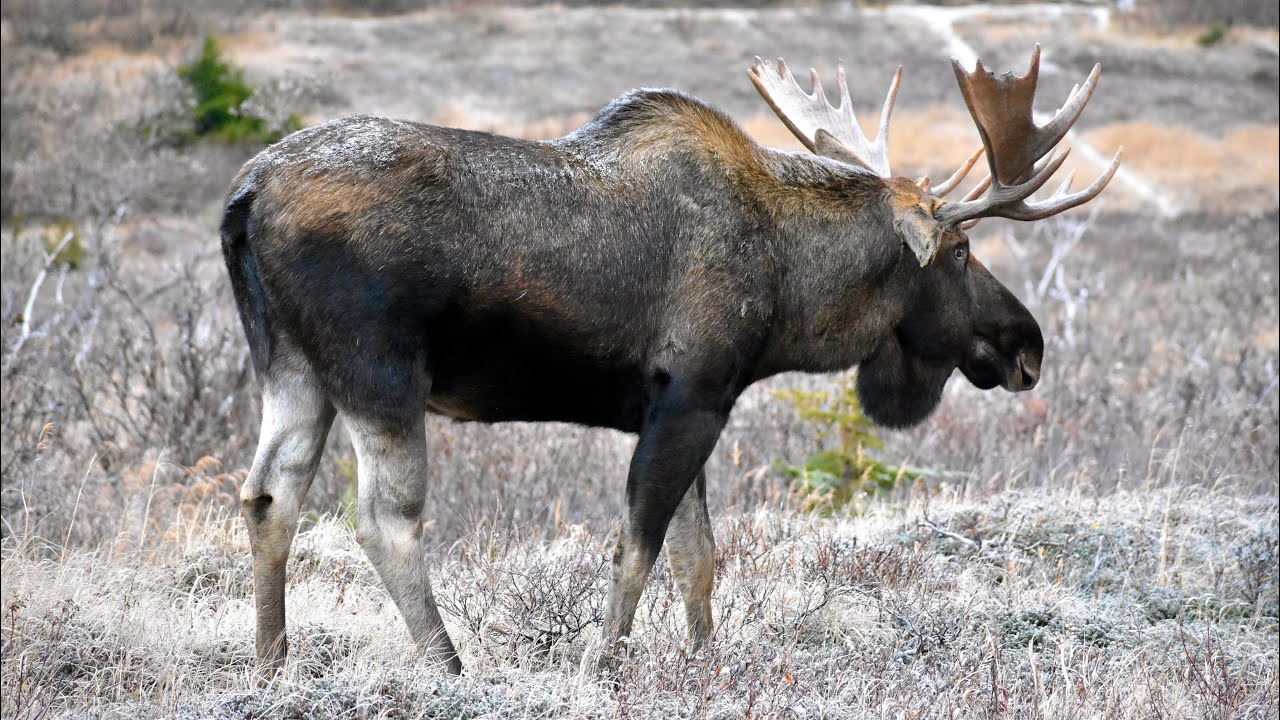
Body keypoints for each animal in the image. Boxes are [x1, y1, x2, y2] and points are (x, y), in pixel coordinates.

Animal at [222, 46, 1121, 671]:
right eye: (962, 251)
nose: (1027, 344)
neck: (795, 288)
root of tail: (246, 192)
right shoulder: (690, 396)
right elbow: (640, 549)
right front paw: (604, 667)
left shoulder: (692, 406)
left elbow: (697, 558)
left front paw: (704, 662)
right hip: (380, 372)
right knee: (384, 519)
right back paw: (449, 670)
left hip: (294, 369)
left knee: (269, 496)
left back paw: (272, 667)